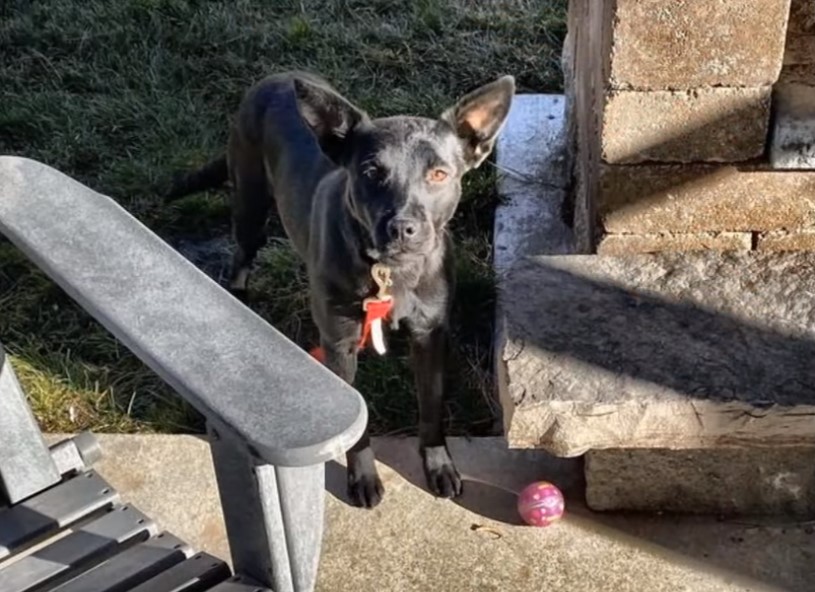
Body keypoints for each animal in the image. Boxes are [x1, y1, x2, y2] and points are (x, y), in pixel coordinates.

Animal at [169, 71, 516, 506]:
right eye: (371, 172)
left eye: (439, 174)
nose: (403, 228)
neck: (391, 272)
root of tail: (276, 77)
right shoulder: (339, 344)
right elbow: (358, 422)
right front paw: (363, 476)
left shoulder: (431, 335)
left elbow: (431, 406)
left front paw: (439, 464)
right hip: (249, 205)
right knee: (240, 257)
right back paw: (239, 295)